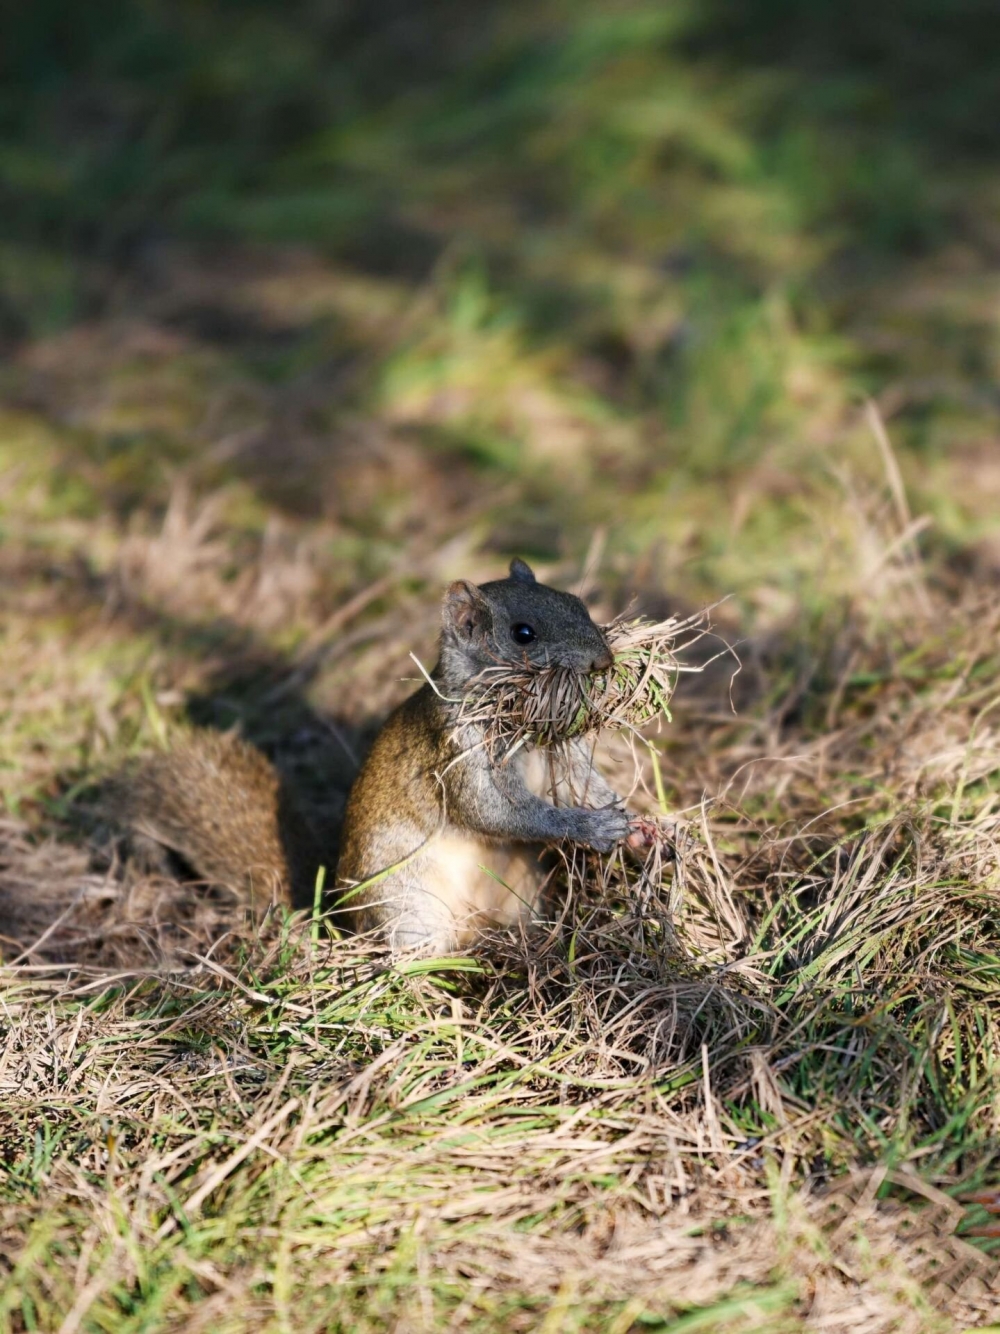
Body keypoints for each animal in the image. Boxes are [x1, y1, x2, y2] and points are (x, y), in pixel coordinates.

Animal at [115, 557, 634, 955]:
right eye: (523, 633)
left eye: (577, 604)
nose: (603, 660)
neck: (519, 726)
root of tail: (337, 916)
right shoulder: (456, 751)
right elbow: (494, 812)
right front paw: (589, 828)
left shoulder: (561, 751)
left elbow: (584, 783)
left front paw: (635, 825)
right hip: (407, 906)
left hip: (519, 894)